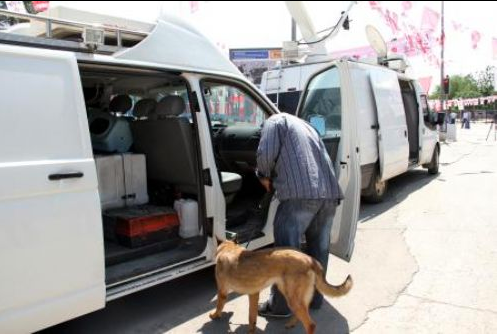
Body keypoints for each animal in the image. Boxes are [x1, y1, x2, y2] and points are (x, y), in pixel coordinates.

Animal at [209, 241, 352, 332]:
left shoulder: (222, 291)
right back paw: (291, 324)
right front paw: (251, 330)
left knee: (311, 325)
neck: (229, 249)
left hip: (292, 298)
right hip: (292, 295)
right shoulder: (254, 294)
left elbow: (219, 305)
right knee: (301, 313)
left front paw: (215, 315)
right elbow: (252, 318)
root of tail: (310, 259)